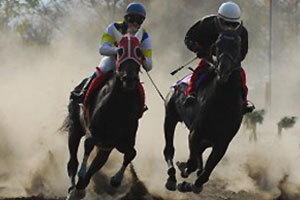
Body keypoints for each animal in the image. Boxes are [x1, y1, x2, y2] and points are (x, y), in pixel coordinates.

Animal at [63, 28, 146, 199]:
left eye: (139, 51)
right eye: (120, 50)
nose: (129, 79)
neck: (119, 106)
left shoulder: (117, 142)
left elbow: (131, 153)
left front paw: (116, 179)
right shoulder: (94, 132)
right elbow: (88, 143)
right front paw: (81, 175)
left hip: (105, 147)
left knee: (96, 165)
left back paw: (80, 188)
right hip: (75, 128)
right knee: (72, 161)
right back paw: (73, 189)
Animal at [163, 22, 245, 193]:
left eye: (237, 45)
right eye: (218, 43)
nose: (223, 69)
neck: (222, 104)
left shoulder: (222, 143)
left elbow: (205, 172)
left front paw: (193, 184)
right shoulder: (195, 133)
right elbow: (192, 163)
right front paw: (184, 174)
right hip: (170, 117)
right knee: (169, 149)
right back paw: (172, 177)